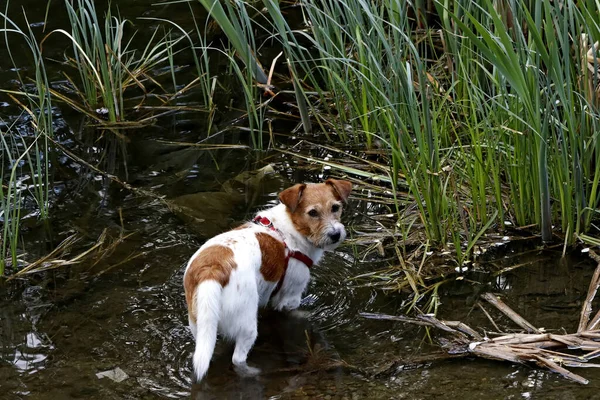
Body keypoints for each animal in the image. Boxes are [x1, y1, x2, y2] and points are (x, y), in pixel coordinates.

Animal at [183, 179, 352, 382]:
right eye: (313, 213)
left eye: (335, 207)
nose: (335, 234)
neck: (291, 228)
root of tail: (213, 270)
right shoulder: (290, 296)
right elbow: (291, 312)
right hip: (247, 326)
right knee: (237, 359)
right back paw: (253, 373)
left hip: (201, 325)